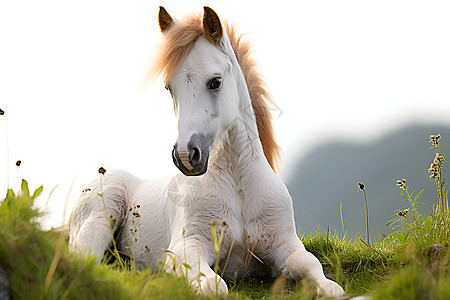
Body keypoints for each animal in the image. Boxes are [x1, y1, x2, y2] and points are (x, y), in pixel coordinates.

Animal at [68, 7, 344, 298]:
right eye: (169, 87)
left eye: (215, 82)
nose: (186, 156)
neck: (239, 188)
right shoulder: (187, 247)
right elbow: (214, 286)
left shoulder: (285, 244)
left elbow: (308, 264)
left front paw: (328, 287)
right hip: (99, 219)